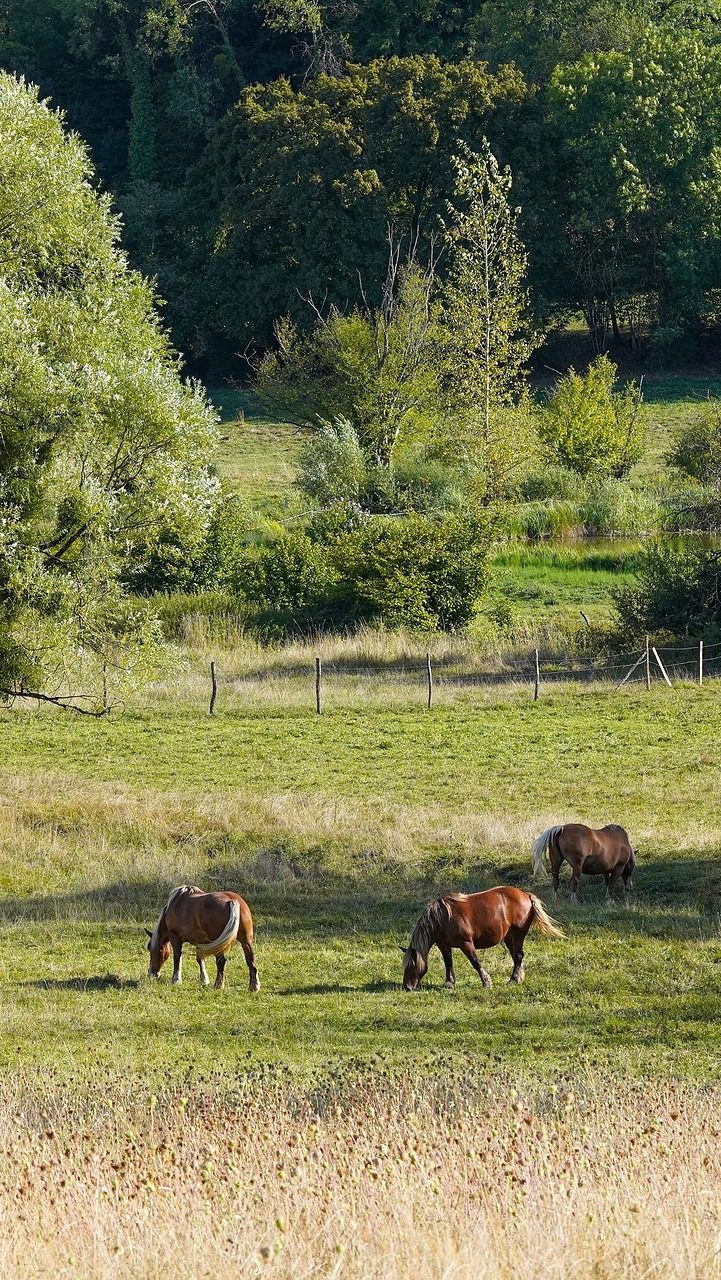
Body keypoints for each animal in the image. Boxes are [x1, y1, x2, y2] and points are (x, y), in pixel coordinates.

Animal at [399, 885, 563, 993]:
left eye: (411, 965)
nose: (407, 987)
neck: (443, 918)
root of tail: (526, 895)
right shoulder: (443, 945)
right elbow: (448, 963)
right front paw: (449, 983)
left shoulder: (466, 943)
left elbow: (476, 963)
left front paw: (487, 983)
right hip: (509, 937)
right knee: (516, 957)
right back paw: (518, 977)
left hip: (518, 935)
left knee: (518, 956)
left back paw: (513, 979)